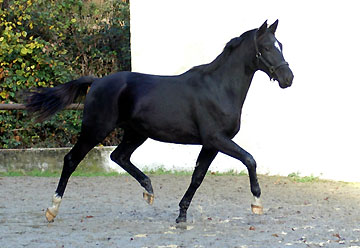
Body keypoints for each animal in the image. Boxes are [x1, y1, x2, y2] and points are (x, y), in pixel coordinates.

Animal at [26, 20, 294, 223]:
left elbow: (197, 177)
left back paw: (148, 191)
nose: (288, 78)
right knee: (71, 160)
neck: (219, 88)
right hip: (95, 129)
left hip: (136, 133)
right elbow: (249, 159)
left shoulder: (210, 144)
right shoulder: (217, 138)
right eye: (267, 47)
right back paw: (52, 210)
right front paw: (257, 203)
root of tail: (97, 81)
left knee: (119, 156)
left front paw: (181, 216)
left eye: (280, 45)